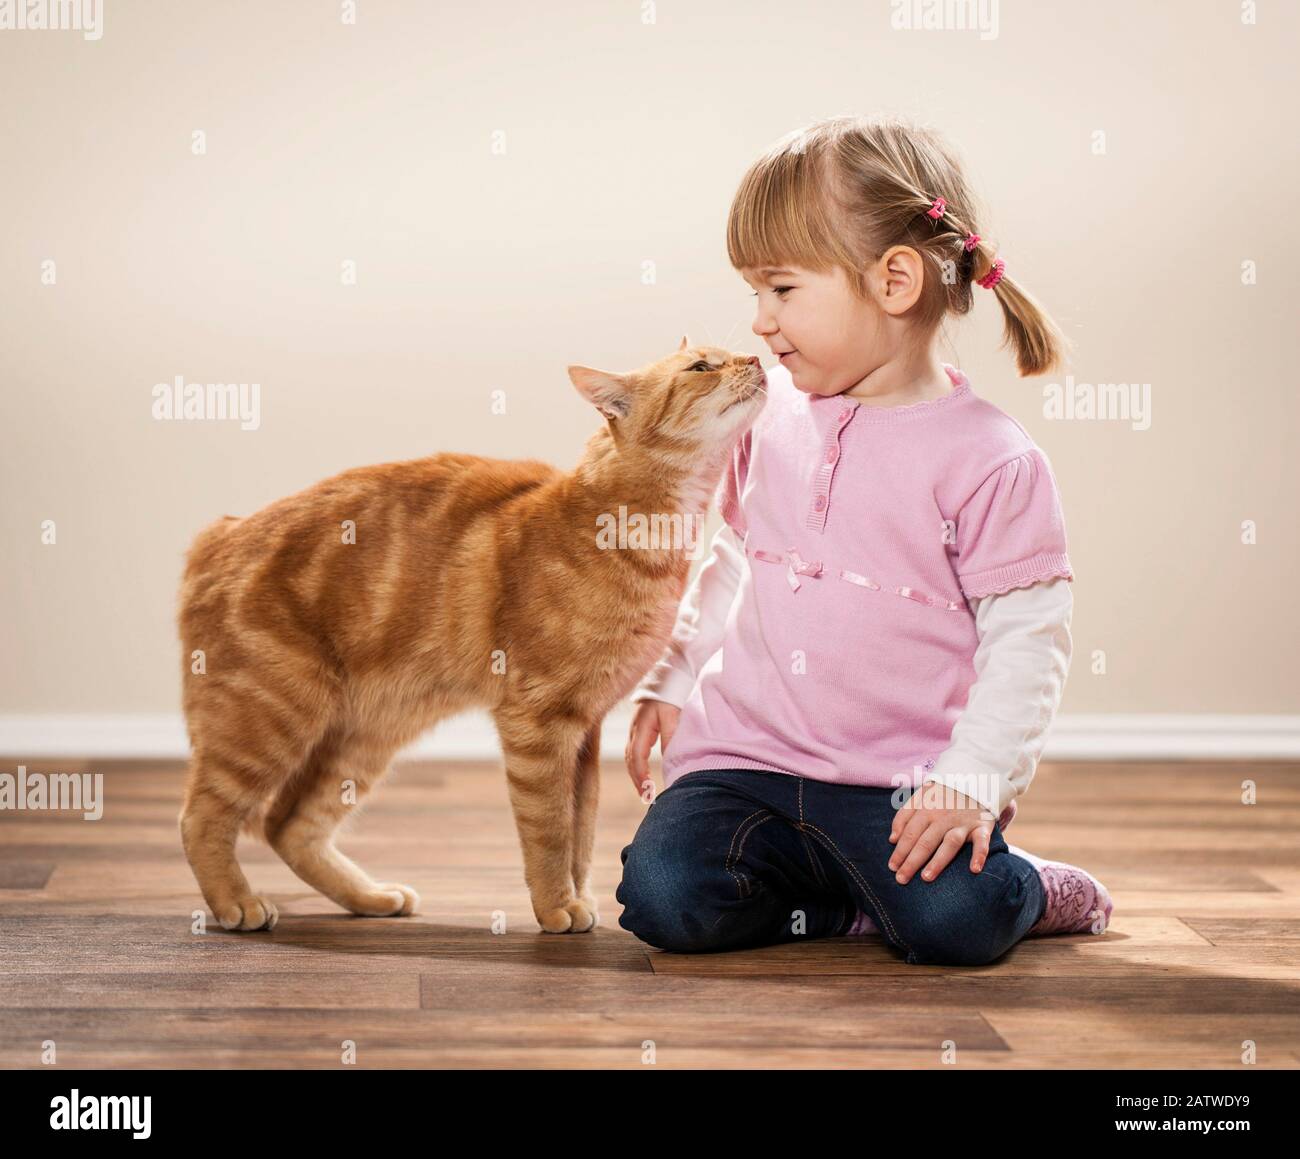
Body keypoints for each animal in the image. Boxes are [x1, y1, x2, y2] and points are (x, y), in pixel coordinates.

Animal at [172, 335, 759, 930]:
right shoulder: (538, 721)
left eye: (729, 352)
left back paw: (370, 898)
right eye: (701, 367)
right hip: (269, 718)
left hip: (362, 739)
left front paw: (580, 898)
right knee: (201, 816)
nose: (757, 359)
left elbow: (582, 828)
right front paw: (556, 906)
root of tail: (220, 533)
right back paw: (236, 902)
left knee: (287, 825)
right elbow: (549, 829)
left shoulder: (585, 730)